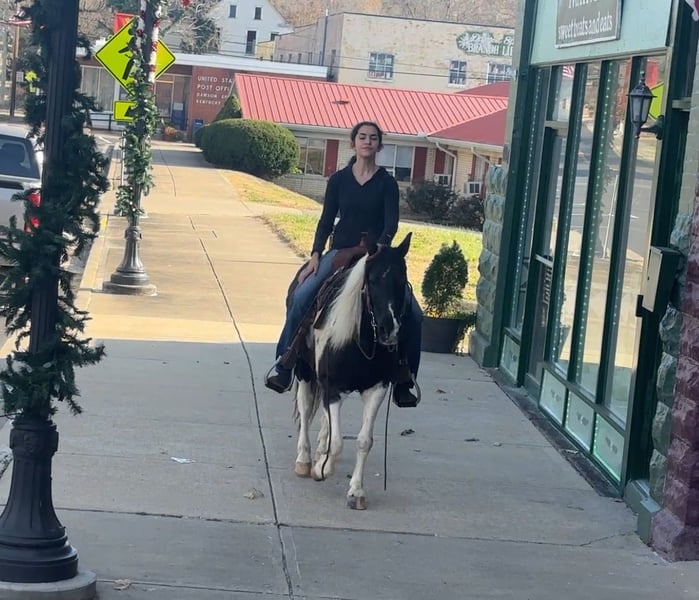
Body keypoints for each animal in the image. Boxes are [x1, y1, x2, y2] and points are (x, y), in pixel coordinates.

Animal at [291, 232, 413, 510]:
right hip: (305, 372)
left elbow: (363, 441)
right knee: (305, 408)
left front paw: (356, 491)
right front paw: (321, 469)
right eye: (373, 279)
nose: (390, 330)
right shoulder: (332, 387)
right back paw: (304, 459)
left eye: (403, 280)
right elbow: (337, 442)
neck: (362, 341)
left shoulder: (376, 389)